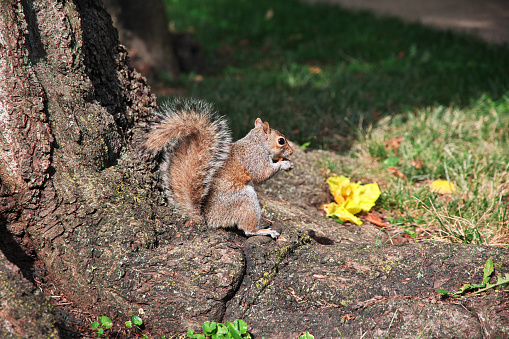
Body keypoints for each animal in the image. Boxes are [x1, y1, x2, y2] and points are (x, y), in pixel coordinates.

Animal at [144, 99, 294, 240]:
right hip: (246, 200)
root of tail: (209, 219)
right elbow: (261, 175)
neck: (257, 142)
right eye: (281, 141)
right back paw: (264, 231)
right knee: (247, 230)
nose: (292, 152)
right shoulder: (255, 158)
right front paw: (284, 164)